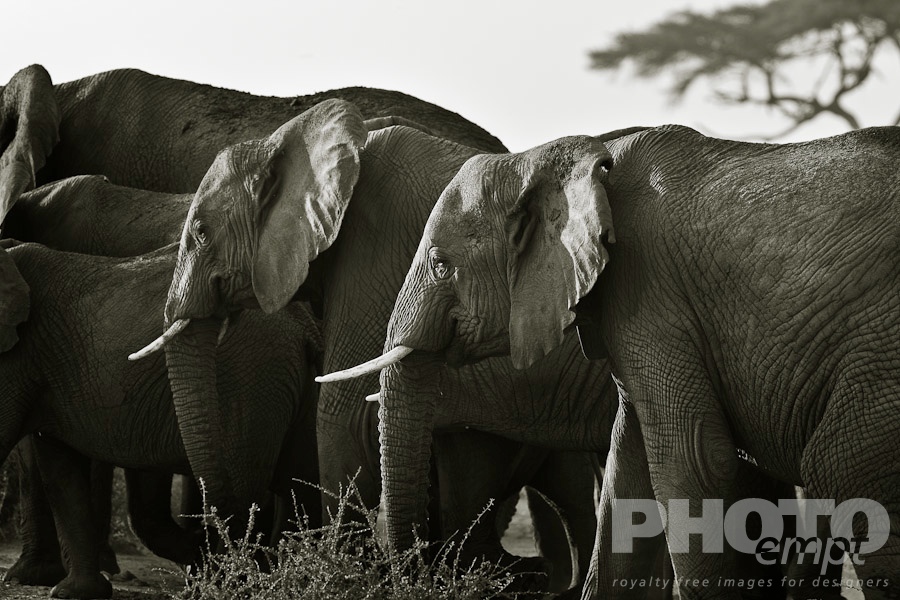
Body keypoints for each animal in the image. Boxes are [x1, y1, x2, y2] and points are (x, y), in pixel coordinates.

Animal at [324, 125, 900, 598]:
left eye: (441, 265)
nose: (418, 575)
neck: (564, 159)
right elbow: (629, 470)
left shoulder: (652, 293)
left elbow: (695, 461)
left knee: (844, 471)